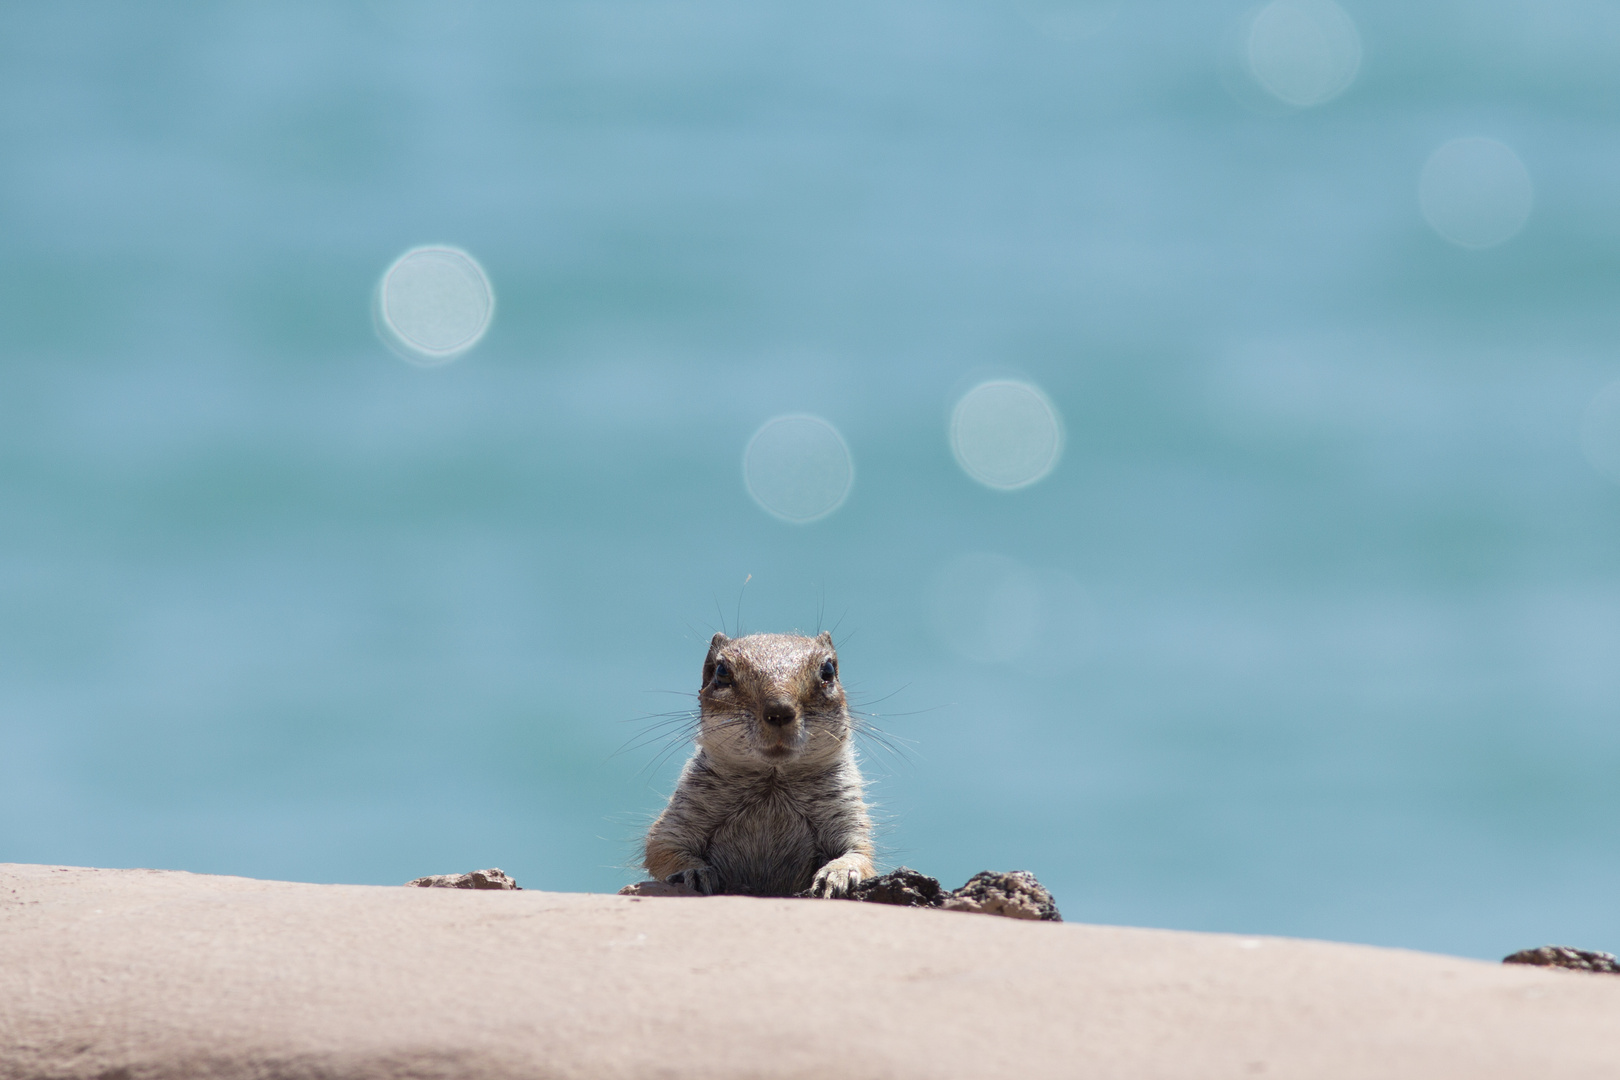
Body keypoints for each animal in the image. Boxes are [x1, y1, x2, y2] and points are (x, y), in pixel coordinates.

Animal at [641, 628, 874, 900]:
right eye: (722, 672)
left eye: (827, 671)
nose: (779, 711)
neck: (772, 778)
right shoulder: (684, 812)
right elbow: (661, 846)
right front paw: (693, 872)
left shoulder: (846, 812)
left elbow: (860, 852)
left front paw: (838, 874)